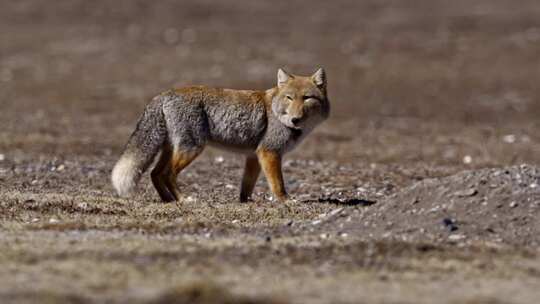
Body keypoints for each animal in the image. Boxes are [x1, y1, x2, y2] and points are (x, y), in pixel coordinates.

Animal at [111, 67, 326, 203]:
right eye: (289, 98)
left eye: (307, 98)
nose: (295, 119)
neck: (275, 109)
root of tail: (164, 94)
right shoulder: (269, 152)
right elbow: (277, 183)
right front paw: (285, 200)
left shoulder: (253, 156)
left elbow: (246, 185)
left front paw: (246, 202)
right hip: (191, 149)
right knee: (167, 174)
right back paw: (183, 199)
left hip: (173, 149)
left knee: (154, 173)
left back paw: (168, 200)